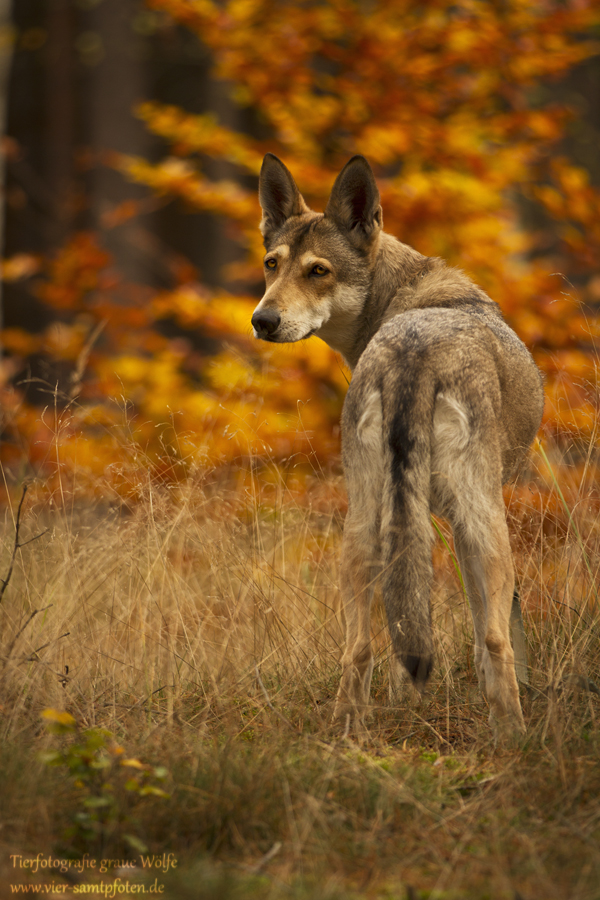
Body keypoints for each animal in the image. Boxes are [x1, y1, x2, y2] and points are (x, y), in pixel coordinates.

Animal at [251, 155, 548, 740]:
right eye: (273, 264)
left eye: (317, 271)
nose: (262, 320)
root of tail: (414, 350)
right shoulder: (465, 523)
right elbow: (493, 630)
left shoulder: (415, 520)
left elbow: (404, 631)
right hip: (485, 523)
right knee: (497, 641)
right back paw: (515, 740)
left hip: (361, 525)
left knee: (358, 648)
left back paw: (351, 733)